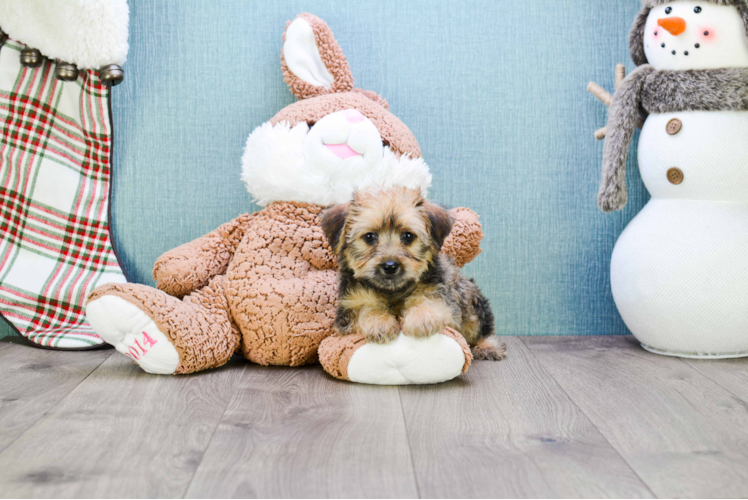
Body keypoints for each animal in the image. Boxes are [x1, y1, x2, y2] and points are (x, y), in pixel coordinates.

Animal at [318, 188, 506, 360]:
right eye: (369, 237)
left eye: (408, 236)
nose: (390, 266)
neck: (392, 291)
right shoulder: (348, 308)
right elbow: (363, 308)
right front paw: (378, 321)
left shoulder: (440, 294)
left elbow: (429, 300)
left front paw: (421, 318)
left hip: (472, 305)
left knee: (482, 329)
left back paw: (488, 346)